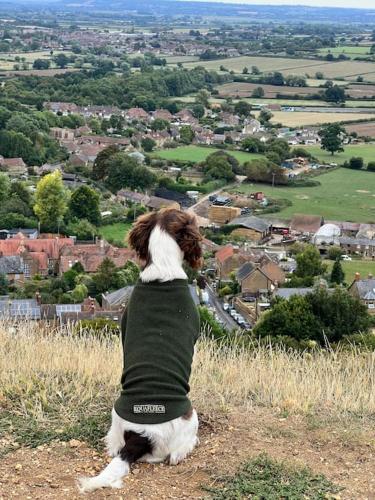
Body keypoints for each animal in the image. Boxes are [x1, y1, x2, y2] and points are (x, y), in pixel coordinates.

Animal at [78, 208, 204, 492]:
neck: (163, 269)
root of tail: (141, 437)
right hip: (191, 417)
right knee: (176, 452)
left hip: (116, 415)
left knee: (114, 445)